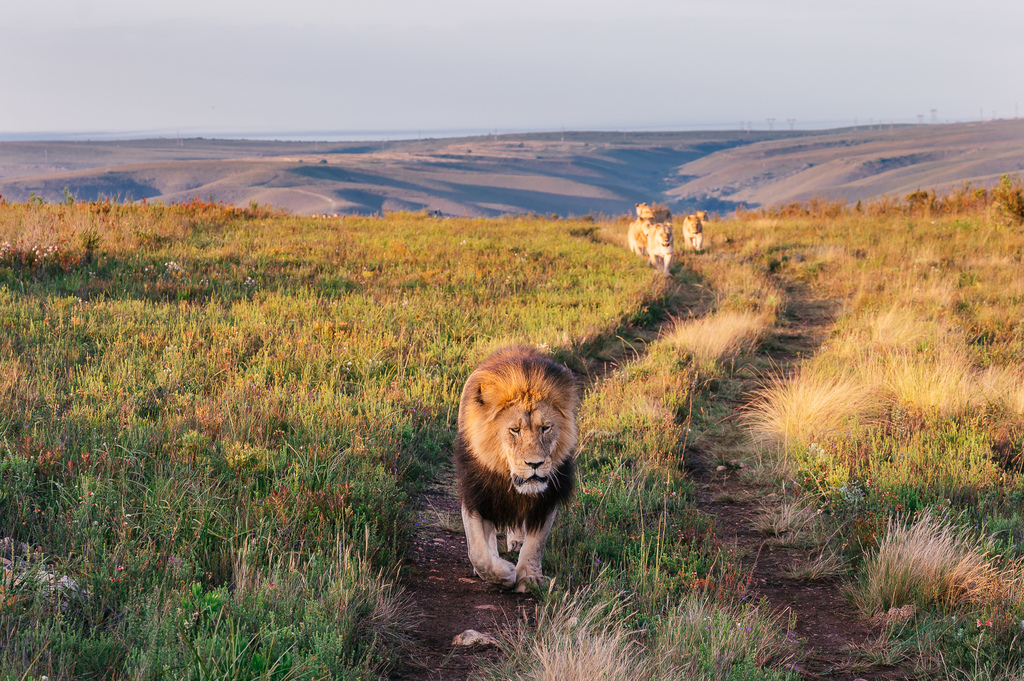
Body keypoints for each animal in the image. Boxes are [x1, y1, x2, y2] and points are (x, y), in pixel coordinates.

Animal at [454, 346, 577, 589]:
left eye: (545, 428)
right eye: (515, 430)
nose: (535, 464)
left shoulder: (547, 498)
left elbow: (536, 544)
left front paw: (530, 577)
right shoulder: (476, 493)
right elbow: (478, 552)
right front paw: (504, 574)